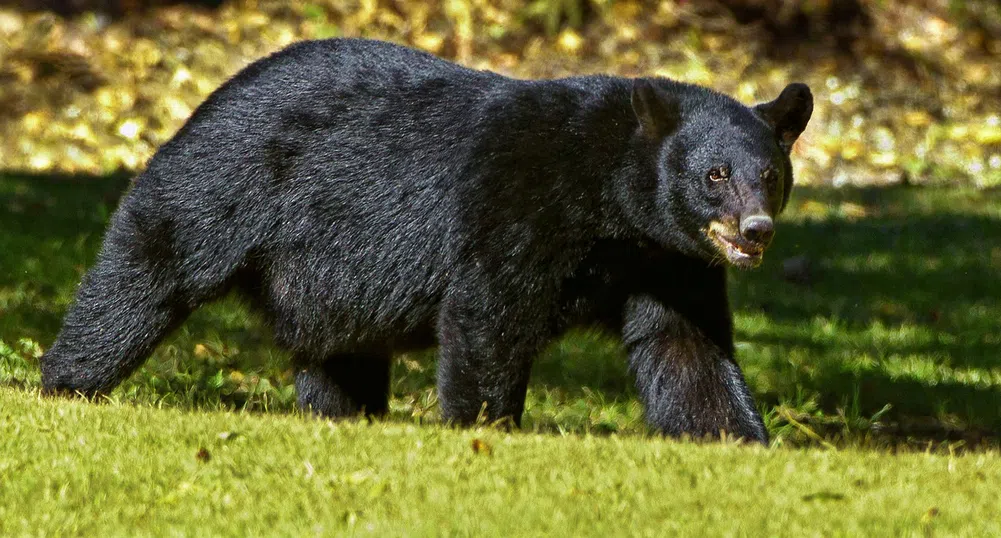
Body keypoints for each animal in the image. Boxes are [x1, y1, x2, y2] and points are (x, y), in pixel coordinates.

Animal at [41, 36, 812, 440]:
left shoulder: (665, 259)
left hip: (326, 279)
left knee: (338, 354)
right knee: (145, 273)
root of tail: (210, 95)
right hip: (222, 184)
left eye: (770, 175)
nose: (755, 229)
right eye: (714, 174)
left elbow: (685, 347)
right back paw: (66, 383)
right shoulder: (518, 203)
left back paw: (343, 416)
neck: (609, 200)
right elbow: (488, 315)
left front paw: (737, 438)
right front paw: (484, 429)